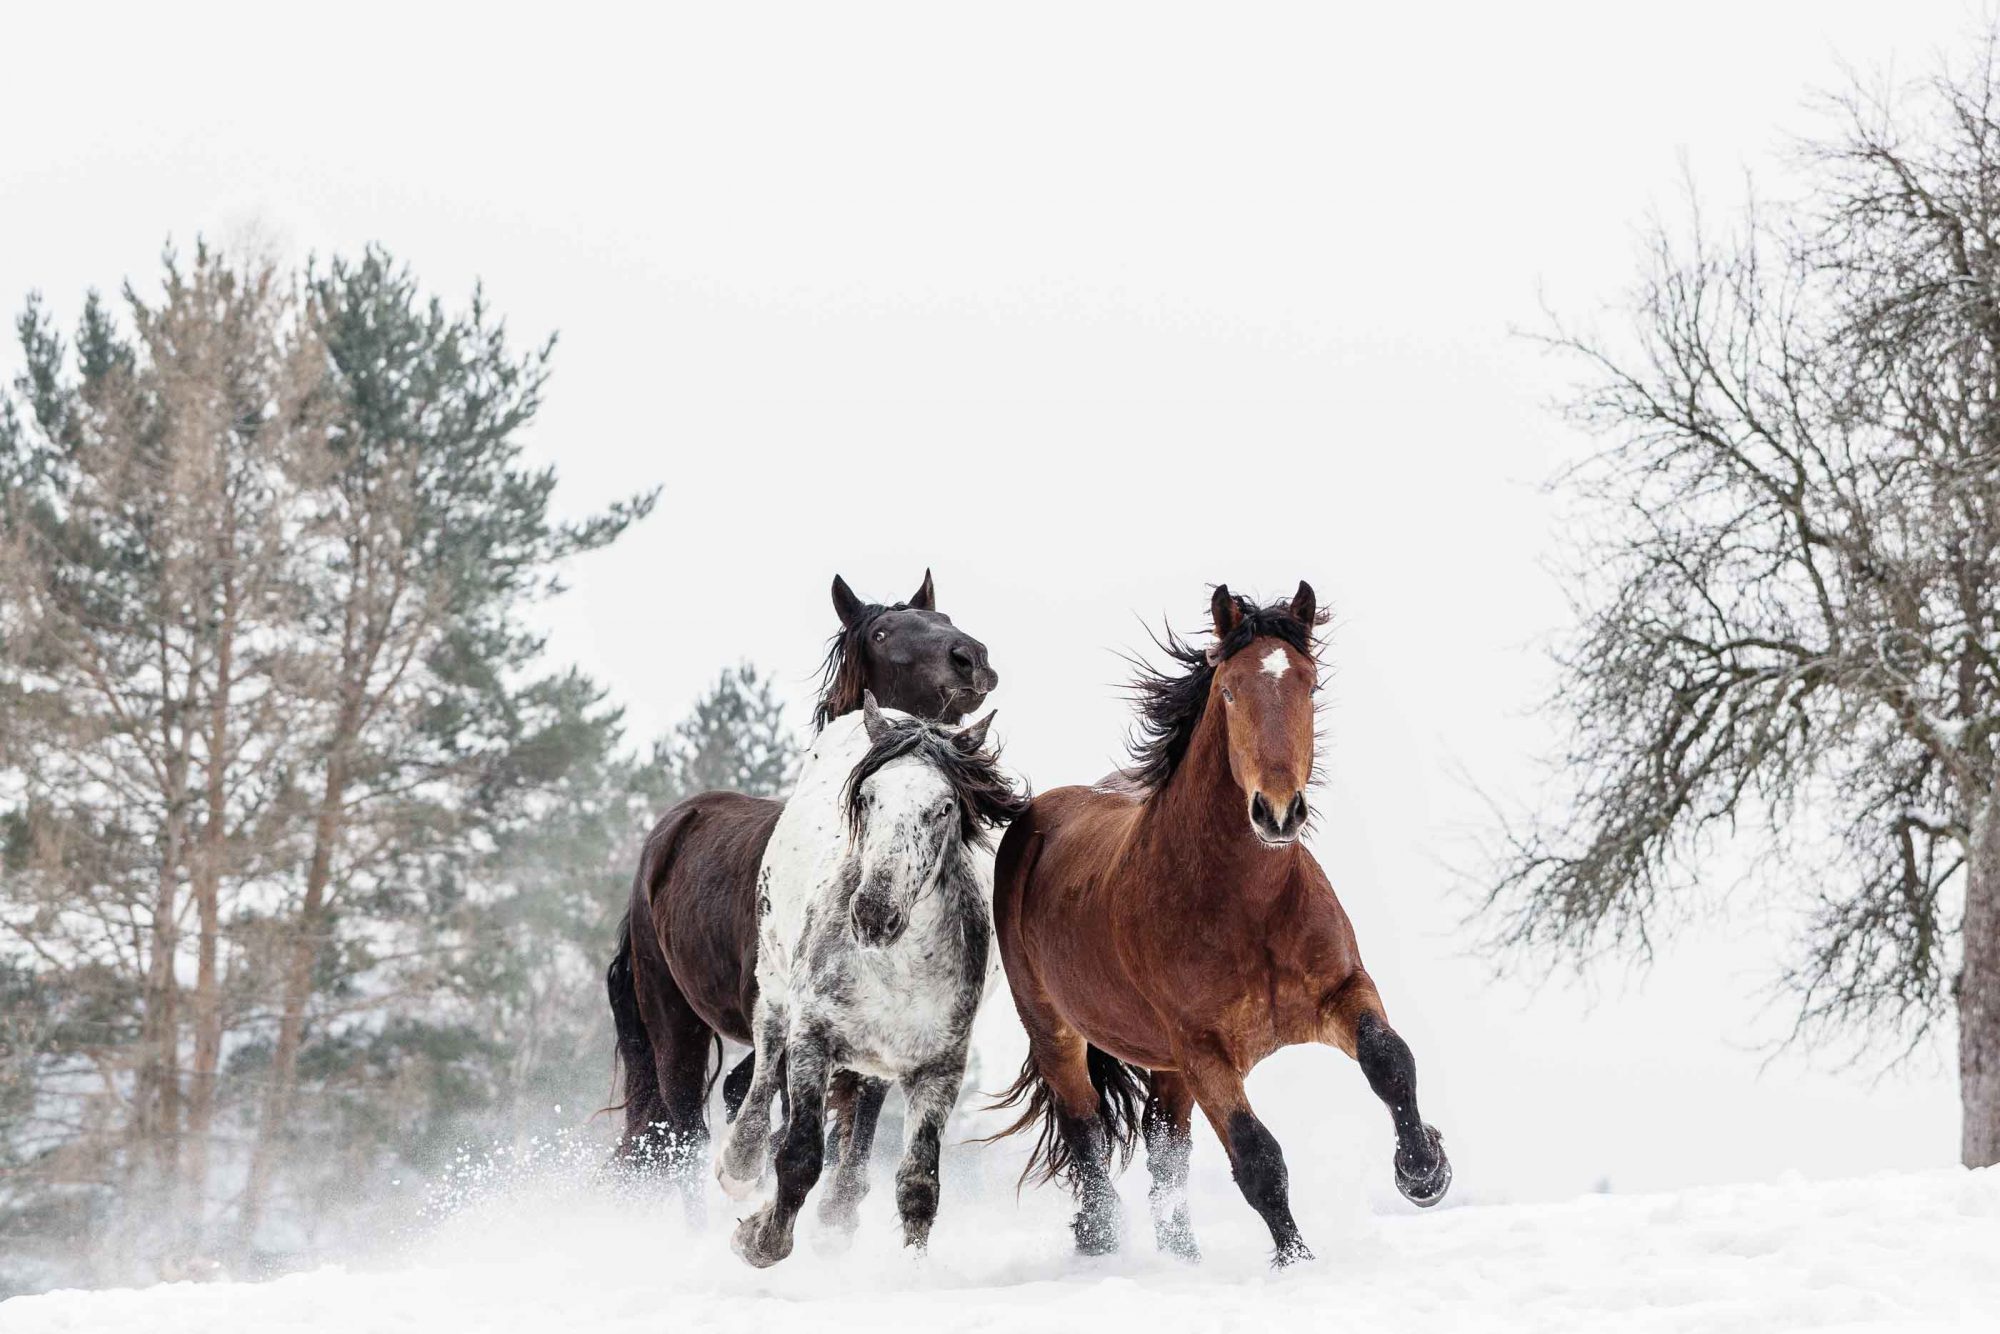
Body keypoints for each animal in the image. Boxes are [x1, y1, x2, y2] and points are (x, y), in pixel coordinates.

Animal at [605, 571, 999, 1217]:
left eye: (944, 619)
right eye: (883, 633)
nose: (971, 659)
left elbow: (851, 1145)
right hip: (674, 1020)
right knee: (683, 1131)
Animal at [715, 692, 1028, 1267]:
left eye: (943, 807)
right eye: (867, 797)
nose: (873, 913)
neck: (896, 969)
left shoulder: (938, 1069)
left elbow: (919, 1183)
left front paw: (911, 1269)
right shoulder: (813, 1038)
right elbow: (799, 1155)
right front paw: (760, 1240)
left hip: (879, 1057)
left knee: (861, 1107)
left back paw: (837, 1216)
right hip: (774, 981)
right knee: (766, 1062)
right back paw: (739, 1166)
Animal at [988, 582, 1452, 1267]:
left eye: (1309, 685)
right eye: (1229, 690)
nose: (1278, 812)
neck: (1248, 907)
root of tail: (1035, 821)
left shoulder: (1343, 990)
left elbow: (1390, 1061)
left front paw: (1424, 1171)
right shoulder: (1203, 1047)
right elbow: (1258, 1158)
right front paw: (1296, 1264)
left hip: (1165, 1066)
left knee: (1162, 1144)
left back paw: (1181, 1255)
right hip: (1057, 1032)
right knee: (1087, 1134)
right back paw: (1102, 1243)